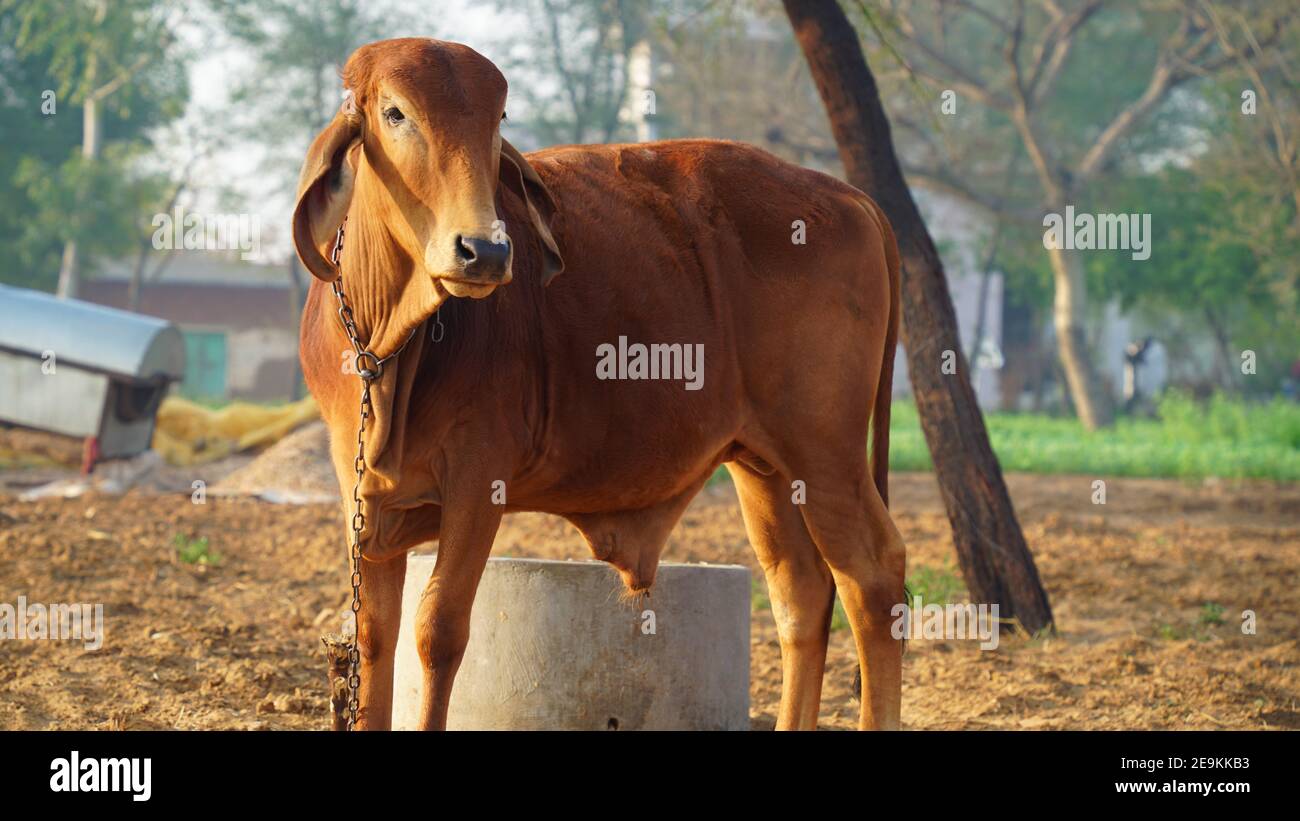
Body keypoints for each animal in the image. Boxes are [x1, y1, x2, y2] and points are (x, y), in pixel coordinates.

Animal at [296, 38, 909, 732]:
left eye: (497, 121)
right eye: (395, 113)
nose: (485, 251)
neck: (389, 344)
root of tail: (850, 196)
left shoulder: (481, 475)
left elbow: (438, 632)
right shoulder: (361, 493)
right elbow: (376, 639)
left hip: (828, 453)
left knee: (872, 578)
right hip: (765, 465)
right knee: (801, 592)